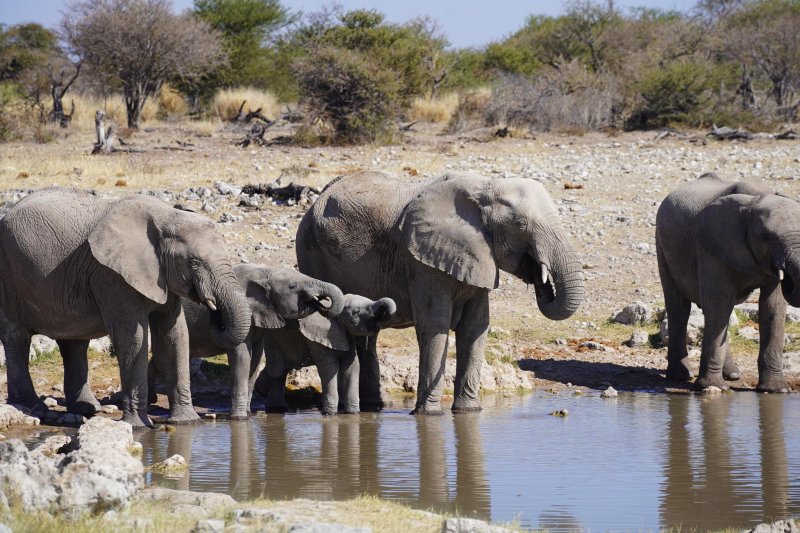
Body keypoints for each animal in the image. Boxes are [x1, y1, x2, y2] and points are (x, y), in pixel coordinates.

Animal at [0, 187, 250, 428]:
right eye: (194, 263)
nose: (215, 309)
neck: (166, 216)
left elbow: (174, 335)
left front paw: (187, 422)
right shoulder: (111, 275)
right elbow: (133, 336)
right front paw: (138, 426)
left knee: (74, 341)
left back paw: (85, 409)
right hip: (10, 275)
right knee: (16, 338)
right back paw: (32, 407)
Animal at [152, 264, 346, 418]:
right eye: (292, 286)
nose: (321, 302)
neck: (265, 272)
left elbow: (256, 358)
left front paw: (248, 413)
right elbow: (242, 356)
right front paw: (239, 418)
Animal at [253, 294, 396, 414]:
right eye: (356, 312)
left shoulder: (346, 337)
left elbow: (352, 368)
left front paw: (353, 414)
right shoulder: (319, 336)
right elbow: (329, 368)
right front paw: (330, 414)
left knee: (282, 370)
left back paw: (273, 405)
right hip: (272, 336)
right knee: (277, 370)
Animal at [296, 172, 584, 414]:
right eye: (520, 224)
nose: (540, 273)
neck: (485, 187)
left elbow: (475, 327)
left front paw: (468, 412)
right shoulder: (422, 261)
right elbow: (435, 324)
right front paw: (429, 415)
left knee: (367, 335)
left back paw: (373, 407)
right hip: (311, 252)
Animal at [656, 174, 800, 390]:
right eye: (765, 237)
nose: (789, 277)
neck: (755, 199)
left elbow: (772, 308)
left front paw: (777, 390)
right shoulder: (711, 244)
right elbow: (718, 303)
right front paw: (712, 388)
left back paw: (732, 374)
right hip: (662, 246)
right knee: (680, 308)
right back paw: (680, 376)